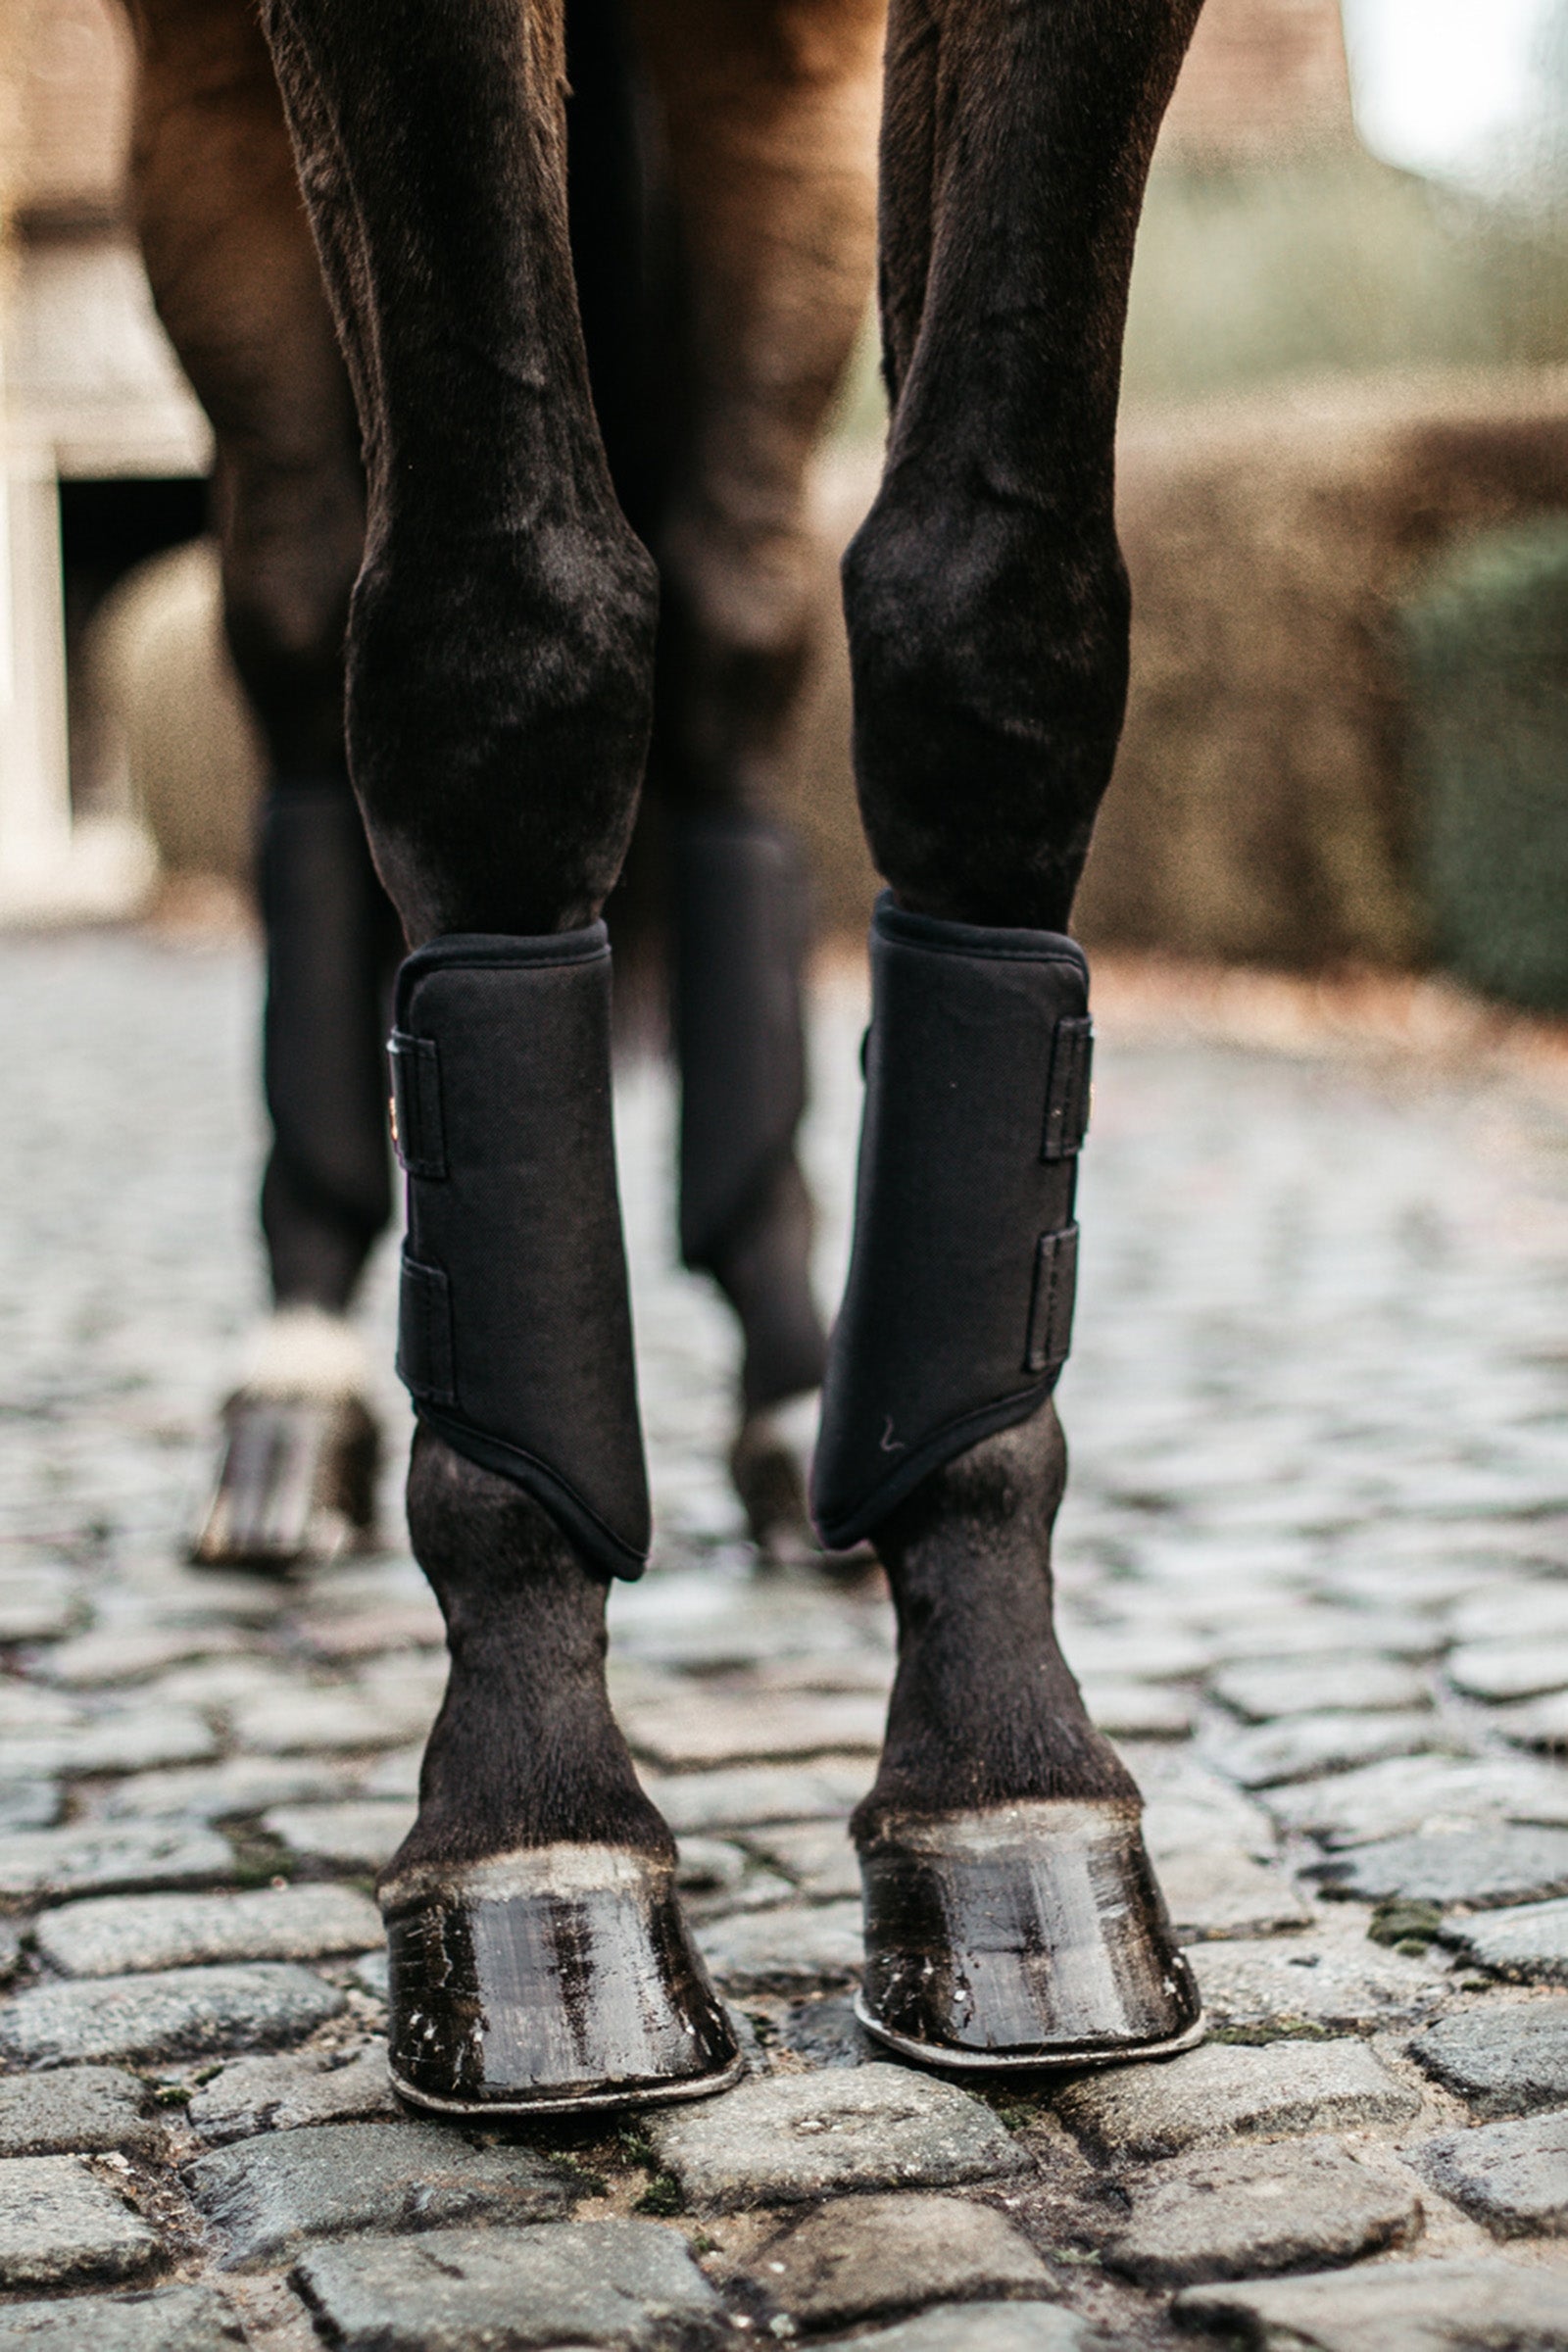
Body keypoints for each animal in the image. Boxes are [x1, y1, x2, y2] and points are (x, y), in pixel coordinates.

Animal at [121, 0, 1207, 2112]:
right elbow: (500, 637)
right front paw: (536, 1841)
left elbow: (992, 619)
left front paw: (1007, 1792)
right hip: (189, 115)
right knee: (296, 621)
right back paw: (293, 1383)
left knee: (732, 628)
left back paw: (794, 1387)